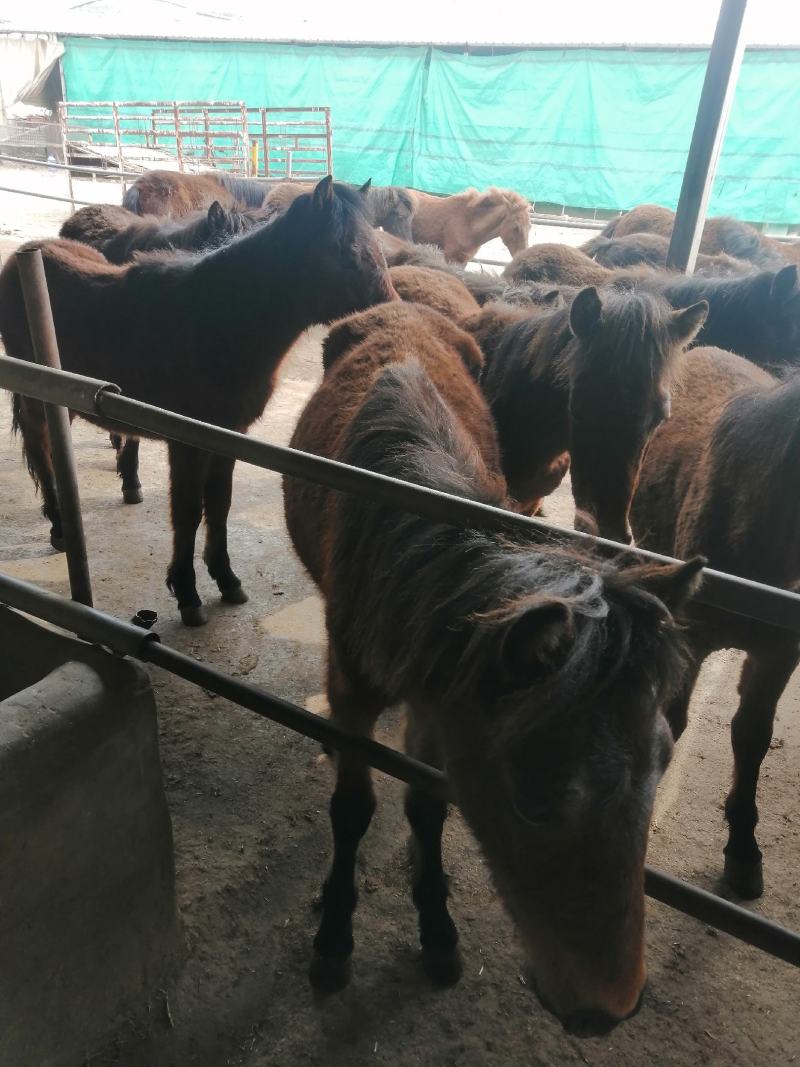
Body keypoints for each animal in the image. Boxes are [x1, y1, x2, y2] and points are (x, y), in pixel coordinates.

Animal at [0, 178, 396, 625]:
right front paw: (187, 593)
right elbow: (188, 511)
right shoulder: (186, 442)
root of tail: (24, 255)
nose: (390, 314)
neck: (213, 322)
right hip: (37, 399)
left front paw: (225, 579)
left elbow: (219, 504)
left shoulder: (227, 435)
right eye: (346, 253)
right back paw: (59, 527)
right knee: (41, 450)